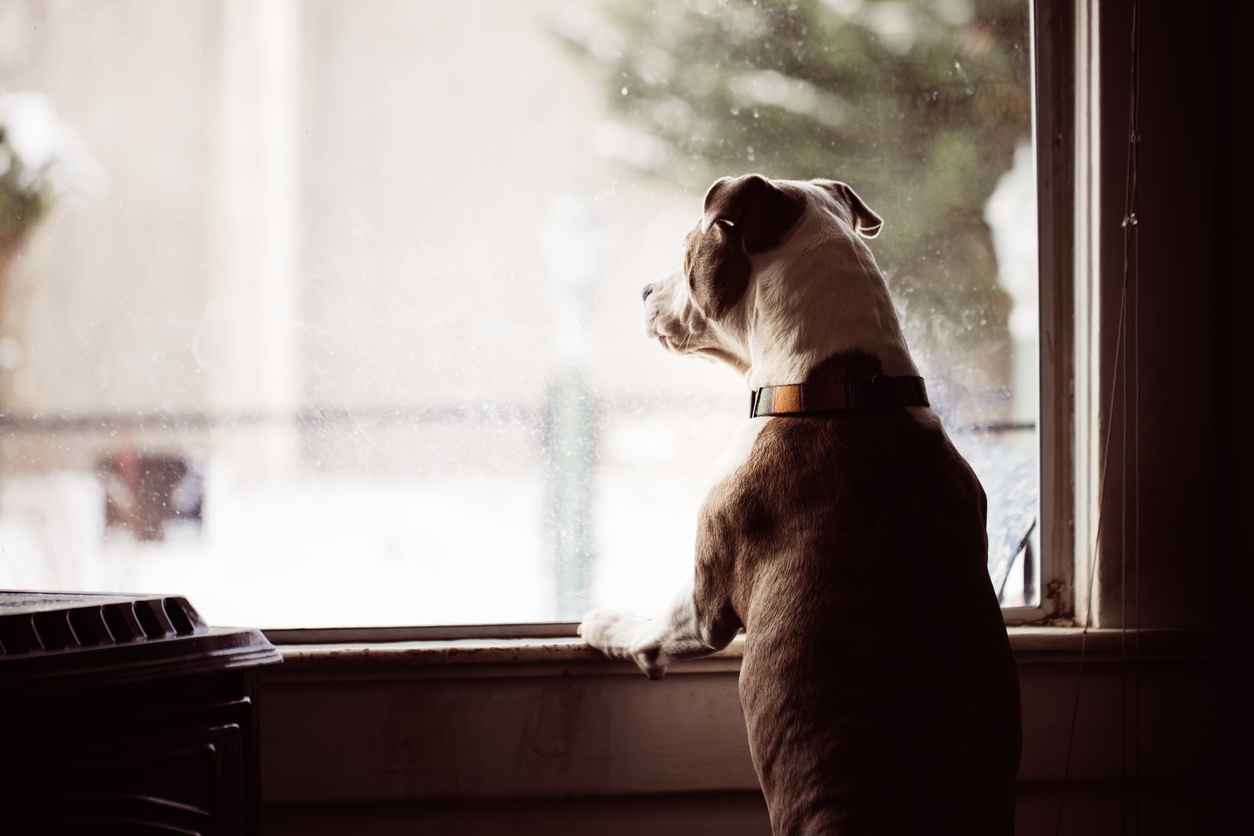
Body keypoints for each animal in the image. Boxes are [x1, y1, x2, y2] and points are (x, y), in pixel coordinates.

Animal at [581, 172, 1023, 832]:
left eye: (687, 251)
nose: (642, 289)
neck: (843, 386)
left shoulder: (707, 596)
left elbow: (657, 627)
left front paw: (609, 623)